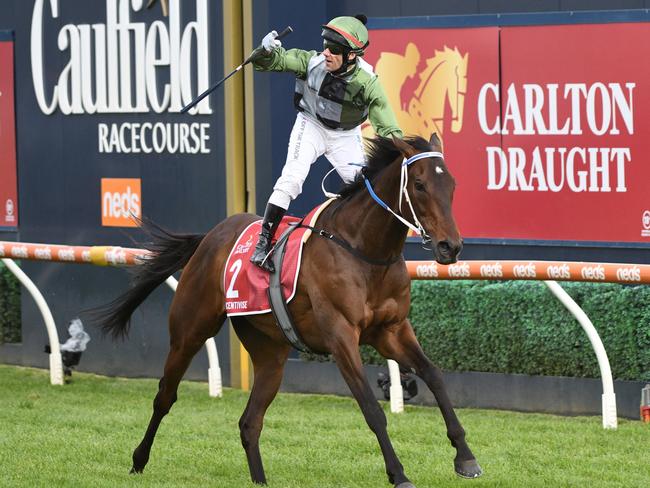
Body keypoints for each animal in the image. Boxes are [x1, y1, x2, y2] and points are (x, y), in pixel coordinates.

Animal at [95, 134, 480, 488]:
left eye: (452, 185)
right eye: (419, 184)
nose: (450, 246)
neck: (364, 249)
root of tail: (210, 236)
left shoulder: (392, 330)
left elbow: (434, 376)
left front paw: (465, 457)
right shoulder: (341, 335)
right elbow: (371, 408)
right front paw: (398, 474)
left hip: (269, 353)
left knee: (249, 422)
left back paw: (260, 480)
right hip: (190, 330)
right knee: (165, 396)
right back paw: (138, 460)